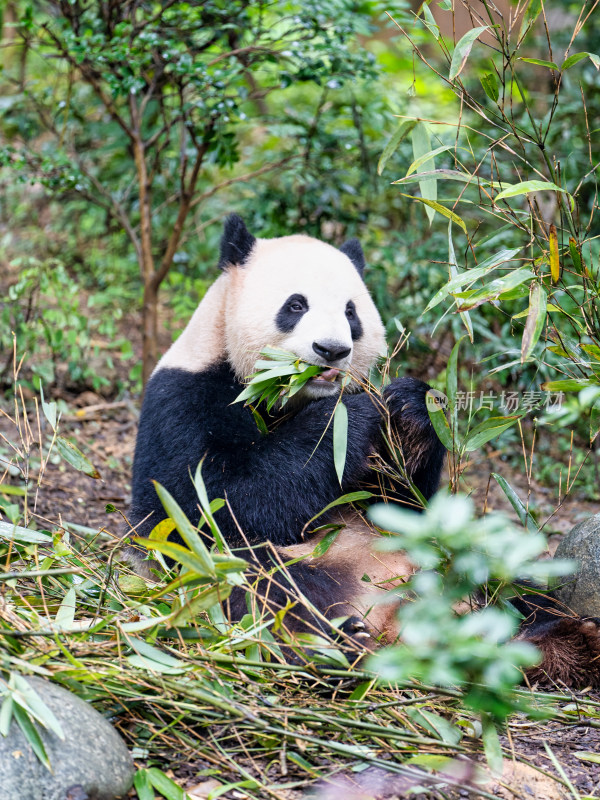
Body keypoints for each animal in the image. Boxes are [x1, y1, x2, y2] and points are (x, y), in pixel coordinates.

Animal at [127, 216, 600, 684]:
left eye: (350, 312)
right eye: (295, 305)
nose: (332, 350)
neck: (291, 396)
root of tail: (394, 618)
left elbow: (401, 502)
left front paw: (410, 406)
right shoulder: (184, 400)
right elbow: (208, 501)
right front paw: (350, 415)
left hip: (455, 561)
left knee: (514, 587)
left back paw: (563, 641)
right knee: (256, 581)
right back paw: (330, 645)